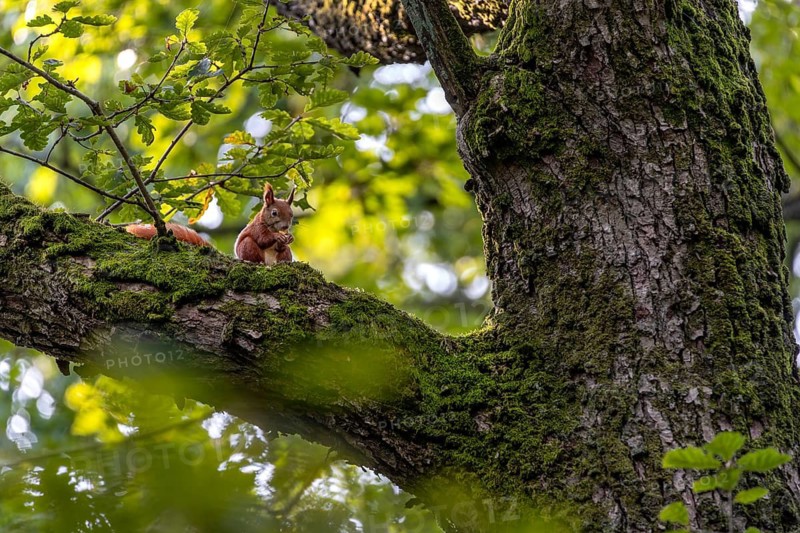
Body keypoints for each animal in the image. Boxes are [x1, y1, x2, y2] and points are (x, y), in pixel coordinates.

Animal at [126, 182, 295, 265]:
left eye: (291, 214)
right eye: (274, 213)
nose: (286, 227)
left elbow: (282, 245)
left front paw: (288, 238)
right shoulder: (257, 227)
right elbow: (262, 238)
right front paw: (277, 237)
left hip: (283, 255)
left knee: (285, 253)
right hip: (248, 247)